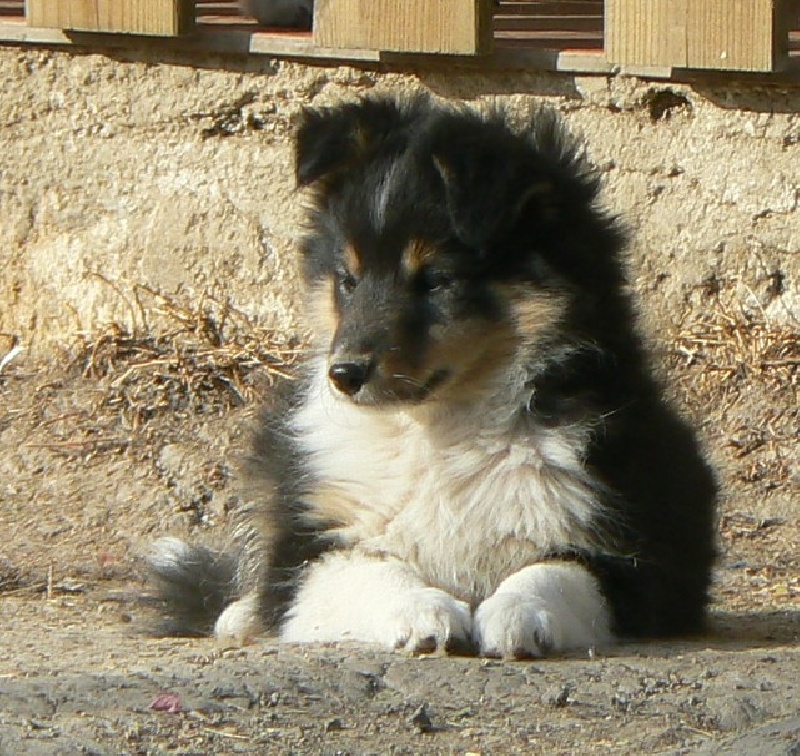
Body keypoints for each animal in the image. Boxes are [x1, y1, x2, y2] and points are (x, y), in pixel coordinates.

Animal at [148, 94, 712, 660]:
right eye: (348, 279)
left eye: (436, 280)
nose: (343, 375)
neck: (436, 429)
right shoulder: (311, 546)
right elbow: (364, 570)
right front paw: (425, 613)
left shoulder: (635, 555)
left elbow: (555, 571)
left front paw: (516, 615)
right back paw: (239, 615)